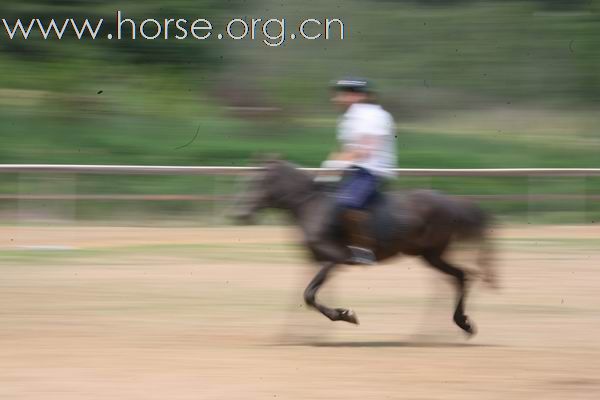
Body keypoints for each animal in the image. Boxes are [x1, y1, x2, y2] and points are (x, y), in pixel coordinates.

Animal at [234, 161, 496, 336]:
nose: (240, 213)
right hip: (430, 255)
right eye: (247, 182)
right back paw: (458, 324)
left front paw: (344, 315)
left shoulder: (333, 259)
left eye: (258, 182)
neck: (312, 206)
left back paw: (453, 325)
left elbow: (309, 294)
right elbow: (306, 294)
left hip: (431, 254)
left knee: (459, 277)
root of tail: (449, 201)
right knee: (459, 276)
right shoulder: (314, 260)